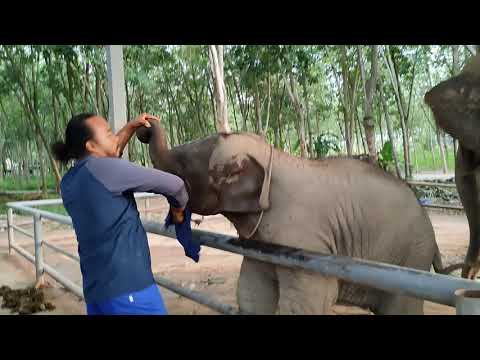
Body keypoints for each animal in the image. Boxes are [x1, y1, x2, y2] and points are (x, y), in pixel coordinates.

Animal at [137, 119, 448, 314]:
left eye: (183, 166)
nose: (143, 126)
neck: (274, 158)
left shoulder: (305, 243)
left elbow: (307, 302)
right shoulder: (261, 243)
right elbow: (251, 293)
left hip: (412, 256)